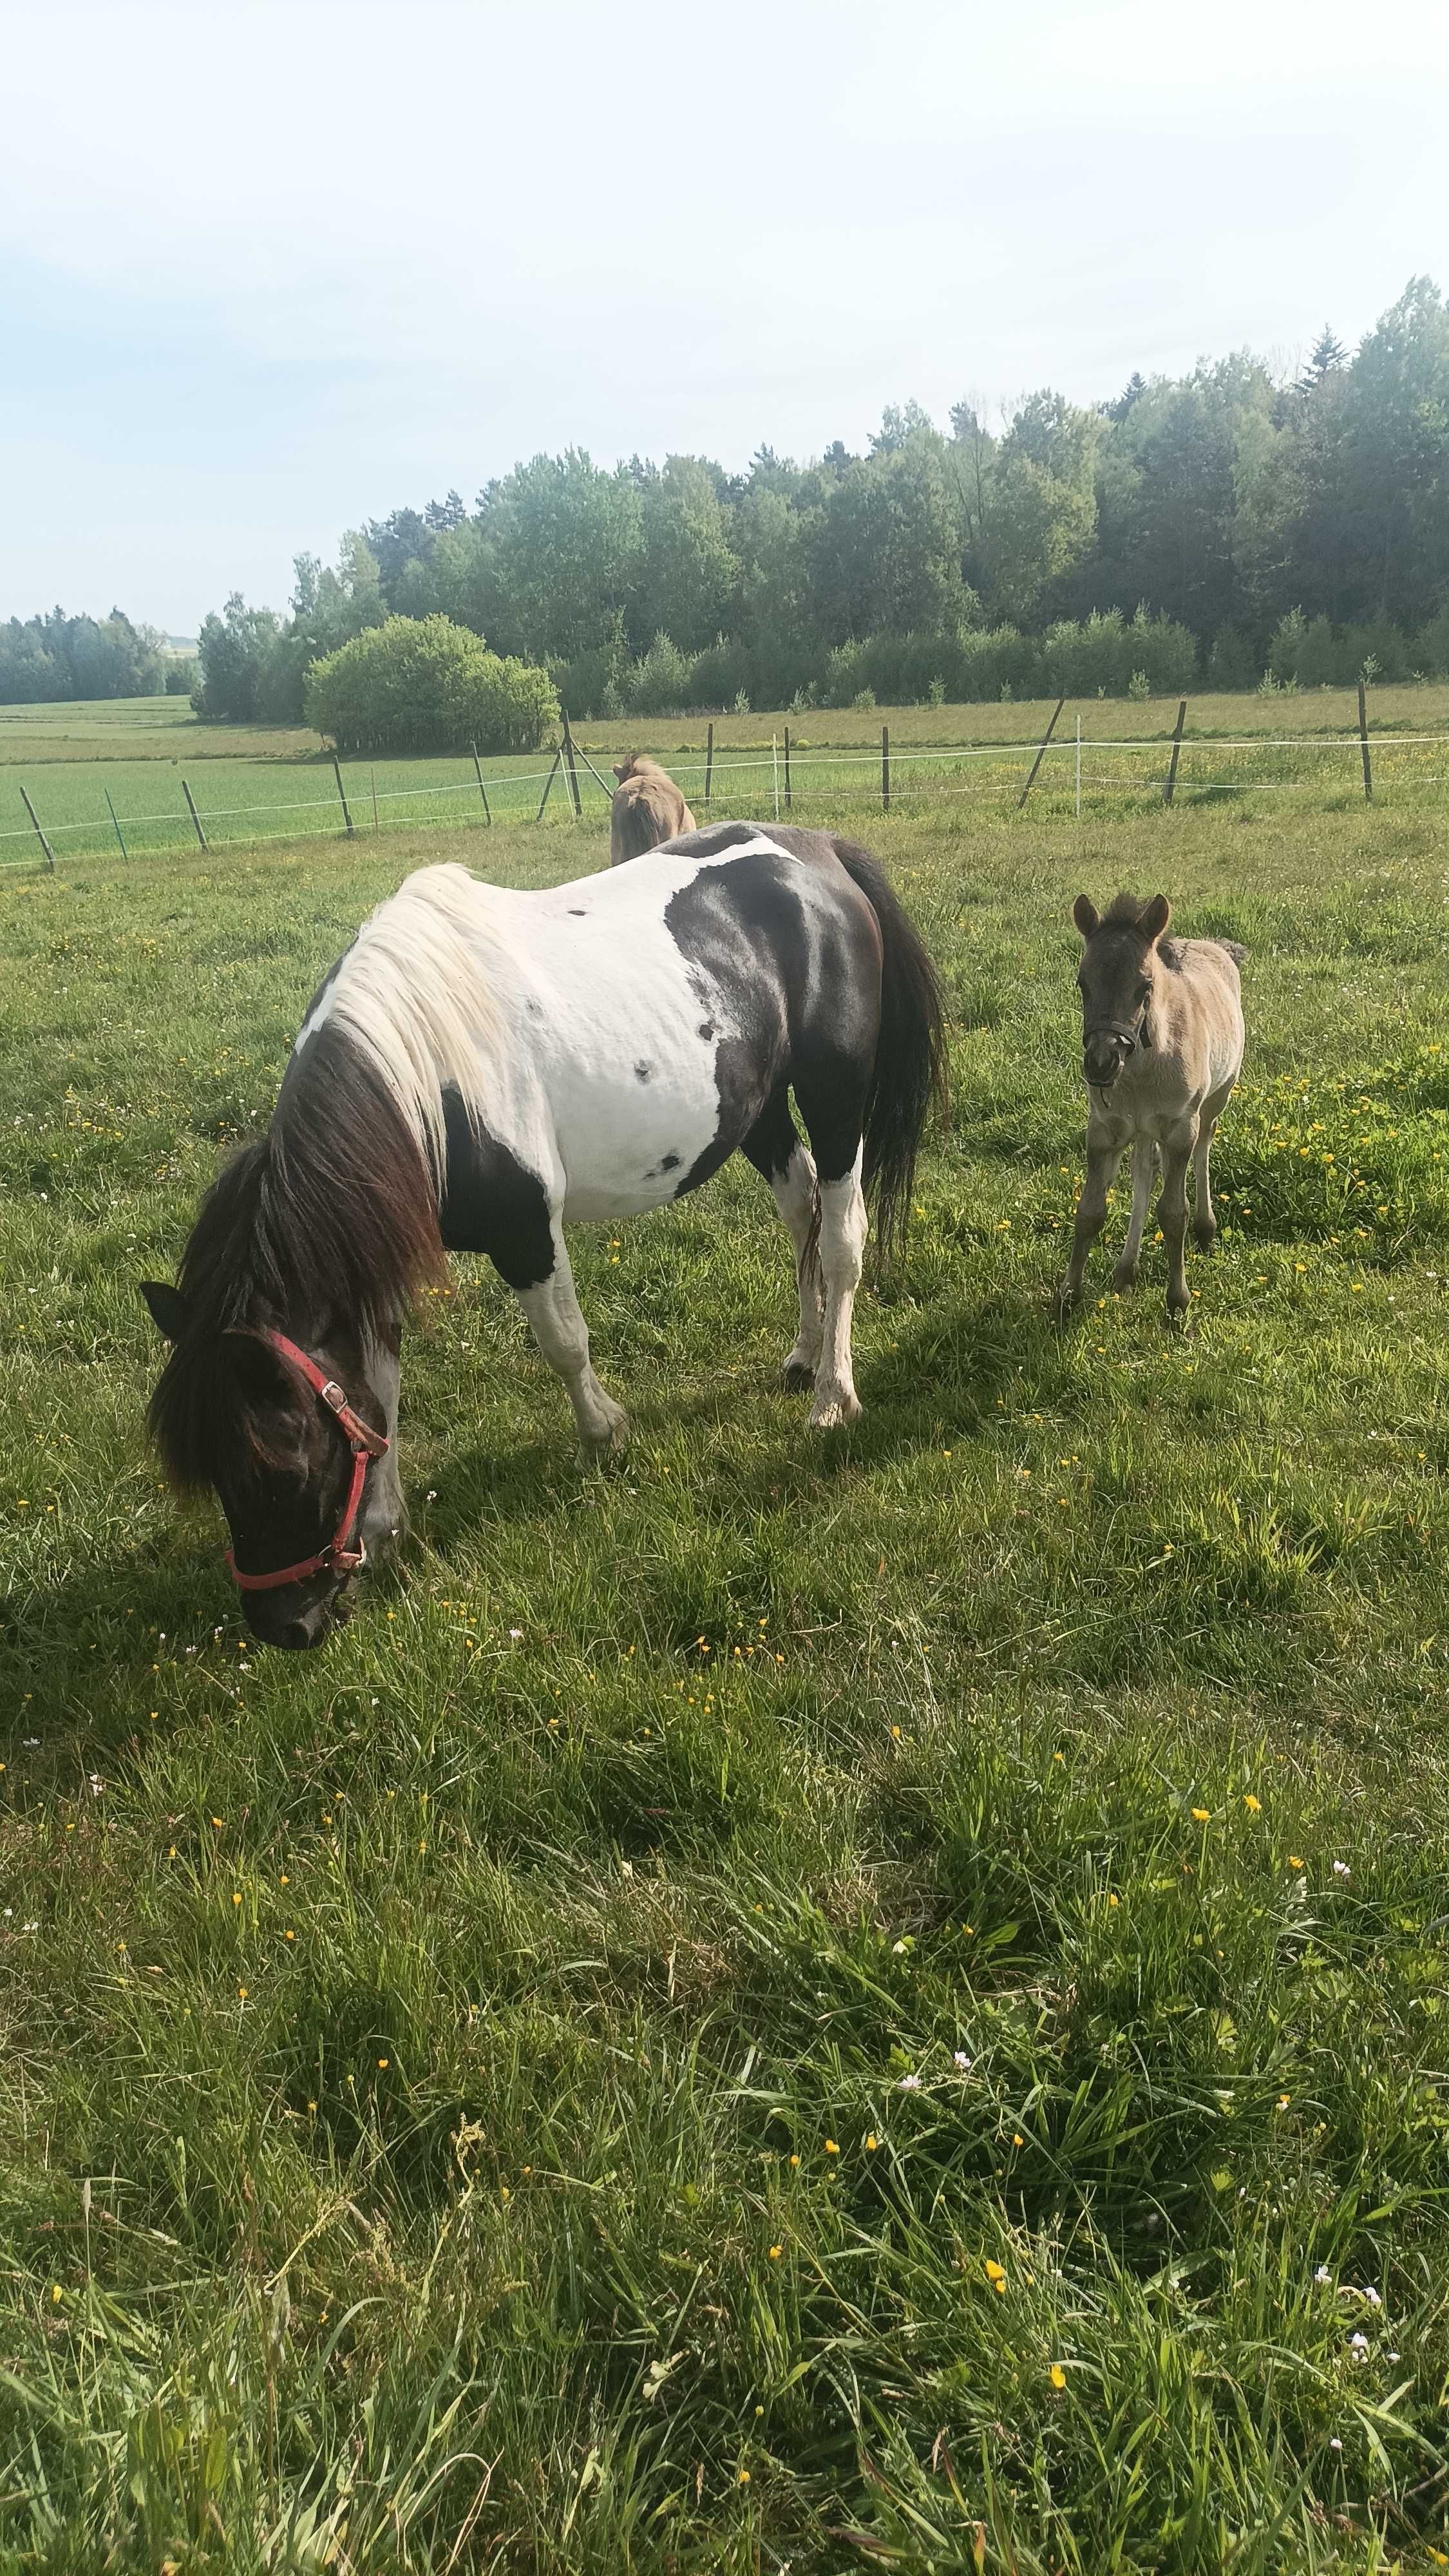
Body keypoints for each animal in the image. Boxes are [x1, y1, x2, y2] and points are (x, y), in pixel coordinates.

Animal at [144, 835, 938, 1659]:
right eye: (212, 1472)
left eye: (282, 1463)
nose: (284, 1626)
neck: (423, 1073)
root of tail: (820, 853)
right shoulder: (379, 1254)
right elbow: (377, 1387)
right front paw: (386, 1524)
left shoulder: (526, 1230)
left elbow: (563, 1342)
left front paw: (603, 1436)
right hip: (757, 1107)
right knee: (800, 1207)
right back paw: (805, 1353)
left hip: (835, 1095)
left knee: (841, 1238)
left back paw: (833, 1394)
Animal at [1057, 891, 1247, 1329]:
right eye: (1082, 983)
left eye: (1145, 985)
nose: (1101, 1063)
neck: (1143, 1068)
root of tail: (1215, 945)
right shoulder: (1105, 1128)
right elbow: (1090, 1211)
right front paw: (1068, 1298)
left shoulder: (1179, 1128)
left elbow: (1173, 1215)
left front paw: (1178, 1304)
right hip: (1143, 1130)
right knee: (1145, 1170)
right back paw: (1126, 1270)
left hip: (1216, 1099)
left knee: (1204, 1147)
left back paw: (1206, 1229)